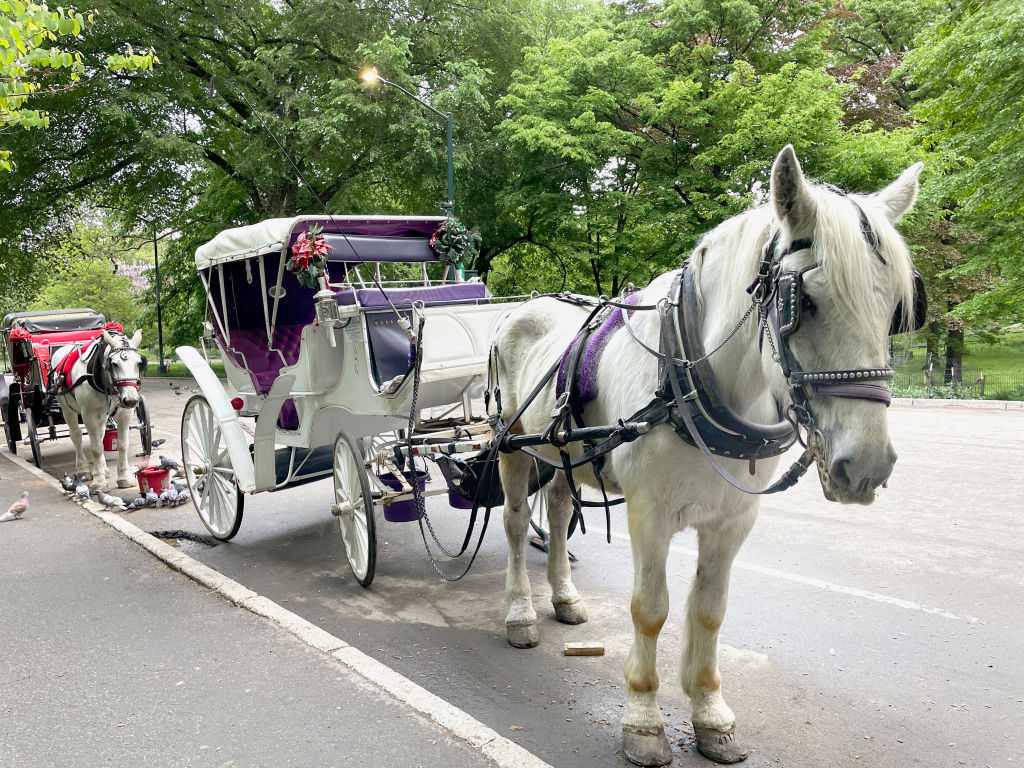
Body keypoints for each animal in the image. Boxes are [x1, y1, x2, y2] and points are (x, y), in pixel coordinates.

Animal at [52, 328, 146, 489]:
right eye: (114, 364)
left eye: (138, 363)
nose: (131, 400)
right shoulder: (88, 415)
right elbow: (95, 448)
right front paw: (99, 482)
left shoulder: (124, 413)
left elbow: (121, 445)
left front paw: (123, 478)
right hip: (67, 409)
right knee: (76, 436)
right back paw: (83, 469)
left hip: (102, 415)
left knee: (100, 435)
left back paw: (103, 469)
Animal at [490, 145, 922, 765]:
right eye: (805, 302)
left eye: (894, 309)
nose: (865, 466)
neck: (689, 378)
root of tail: (521, 307)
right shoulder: (649, 516)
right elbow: (651, 609)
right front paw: (644, 720)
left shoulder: (731, 521)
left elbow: (709, 610)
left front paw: (710, 712)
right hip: (512, 445)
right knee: (515, 521)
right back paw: (521, 612)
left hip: (561, 450)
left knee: (556, 506)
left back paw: (564, 597)